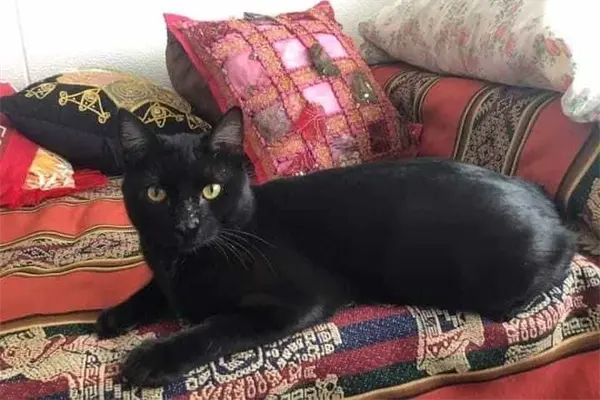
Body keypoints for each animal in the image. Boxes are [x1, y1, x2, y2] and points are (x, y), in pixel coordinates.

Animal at [96, 107, 575, 387]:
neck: (185, 262)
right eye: (156, 194)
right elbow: (150, 290)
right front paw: (113, 316)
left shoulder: (301, 297)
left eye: (211, 190)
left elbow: (216, 327)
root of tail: (554, 213)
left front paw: (152, 357)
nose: (186, 225)